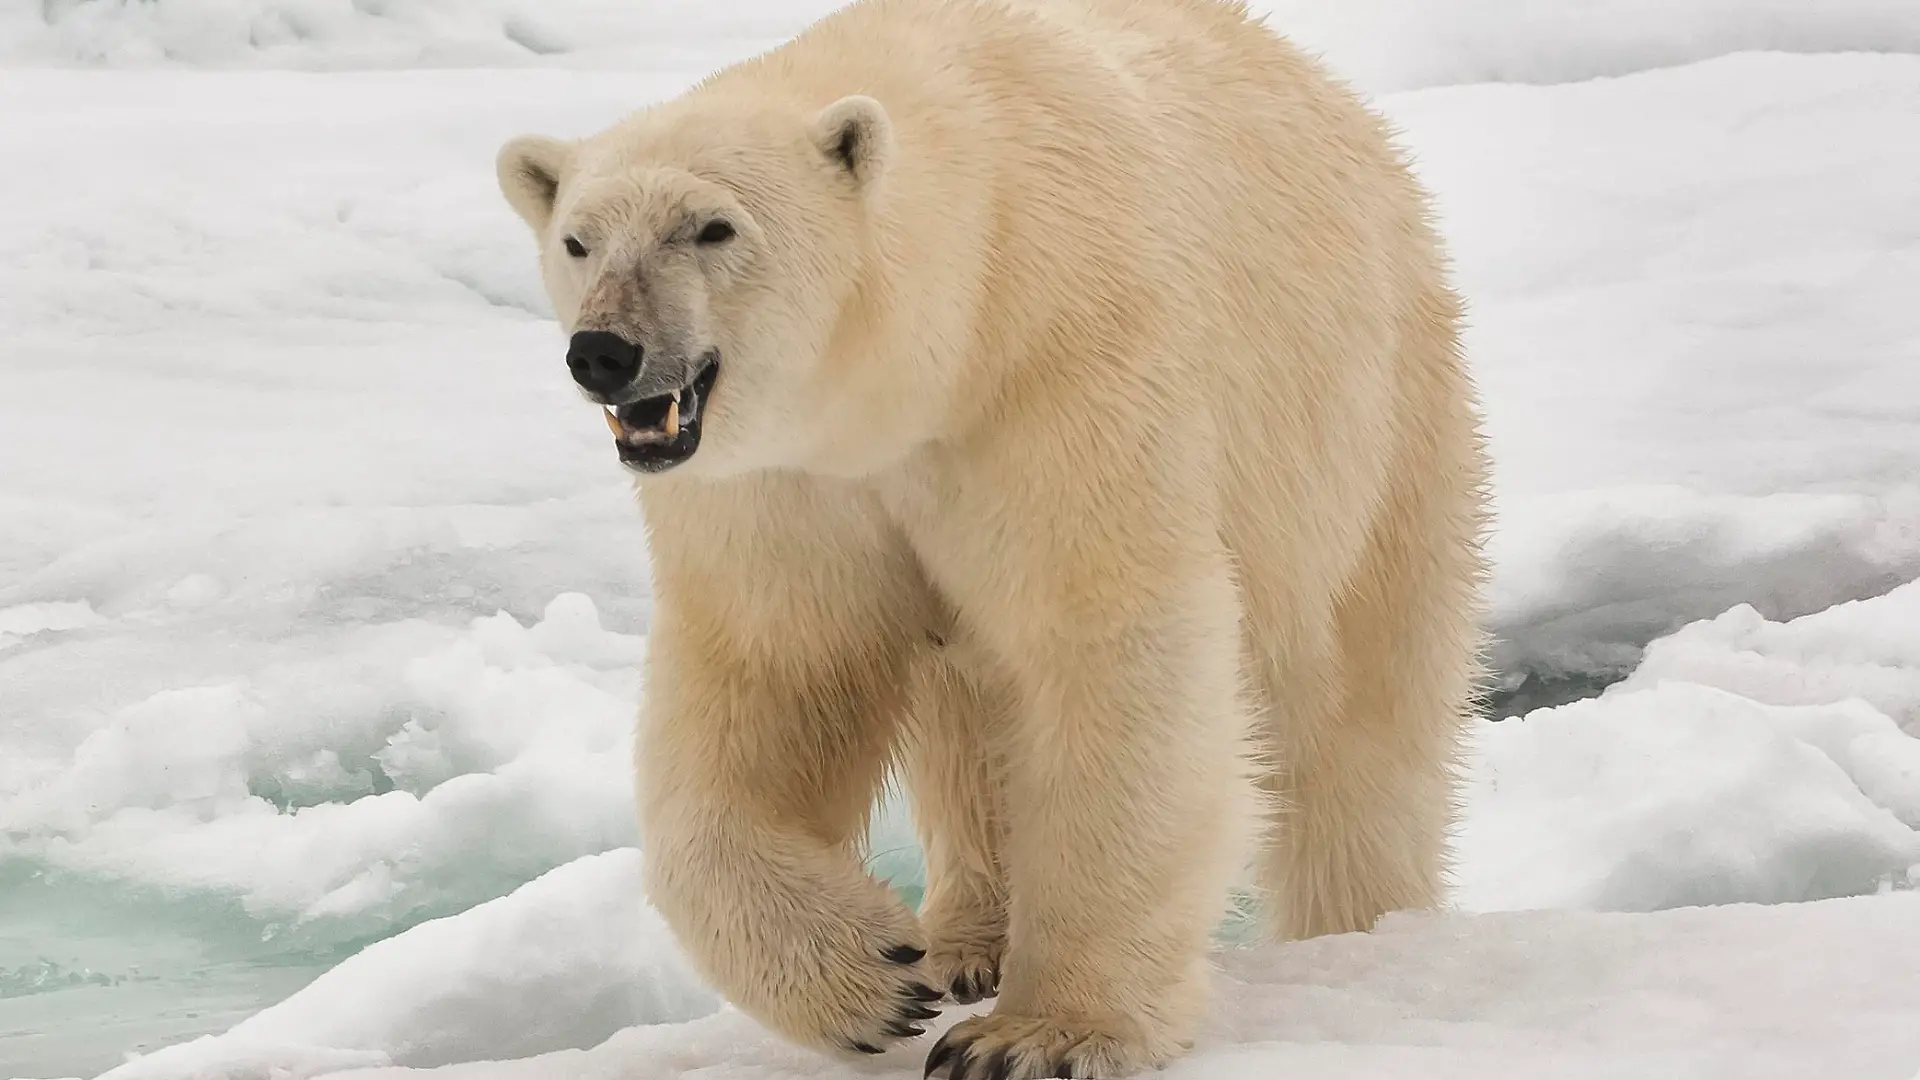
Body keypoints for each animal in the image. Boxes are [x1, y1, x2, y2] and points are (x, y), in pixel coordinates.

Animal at [494, 0, 1488, 1076]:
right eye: (578, 240)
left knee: (1361, 714)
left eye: (713, 227)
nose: (604, 353)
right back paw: (963, 939)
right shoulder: (785, 484)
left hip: (1372, 424)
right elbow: (776, 671)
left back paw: (1362, 928)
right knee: (962, 716)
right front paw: (873, 979)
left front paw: (1039, 1036)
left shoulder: (1063, 374)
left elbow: (1107, 644)